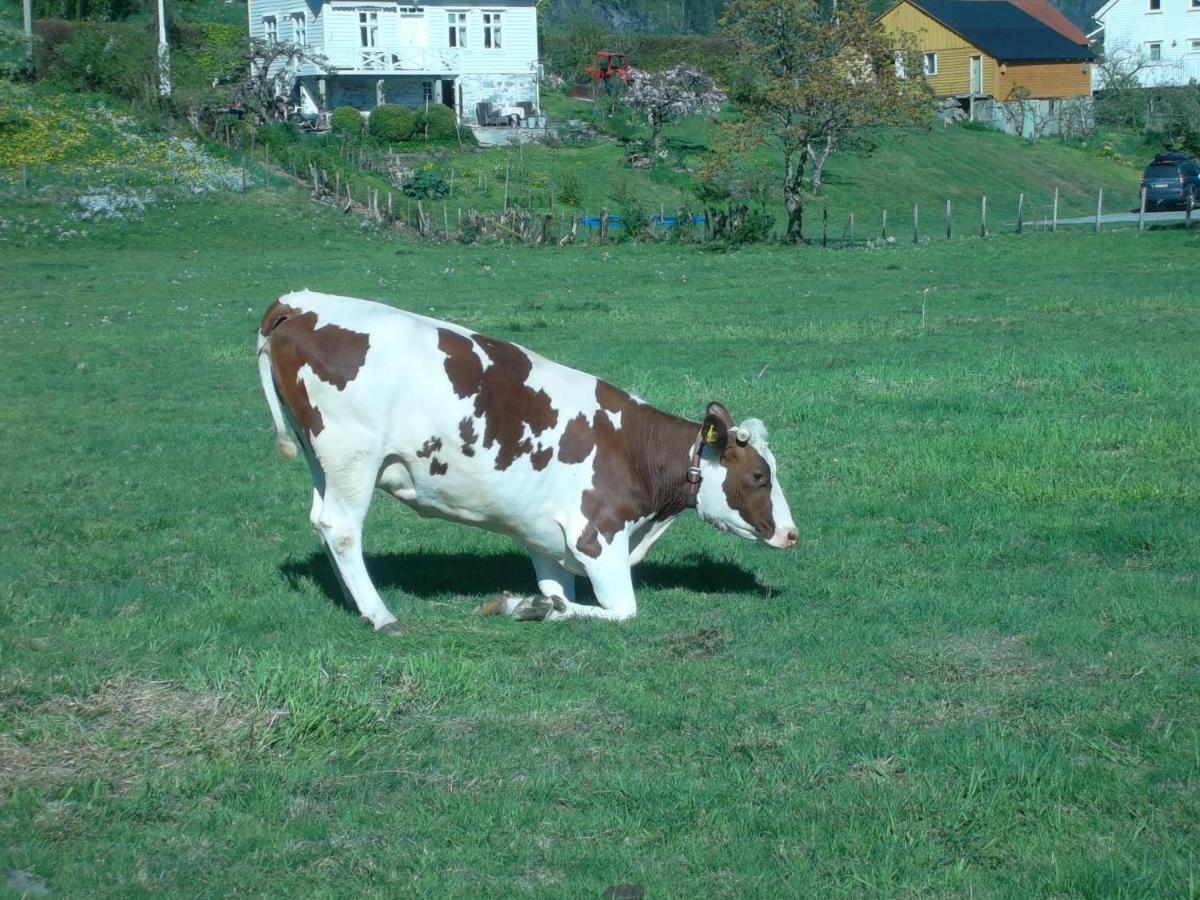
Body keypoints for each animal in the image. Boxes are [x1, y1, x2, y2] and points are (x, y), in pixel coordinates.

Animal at [255, 292, 796, 628]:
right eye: (759, 475)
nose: (792, 534)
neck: (633, 450)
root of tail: (300, 304)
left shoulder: (547, 538)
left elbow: (560, 590)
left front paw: (539, 602)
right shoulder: (598, 537)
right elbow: (622, 612)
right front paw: (525, 605)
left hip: (322, 459)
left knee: (322, 521)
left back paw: (357, 603)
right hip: (353, 455)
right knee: (342, 527)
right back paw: (382, 615)